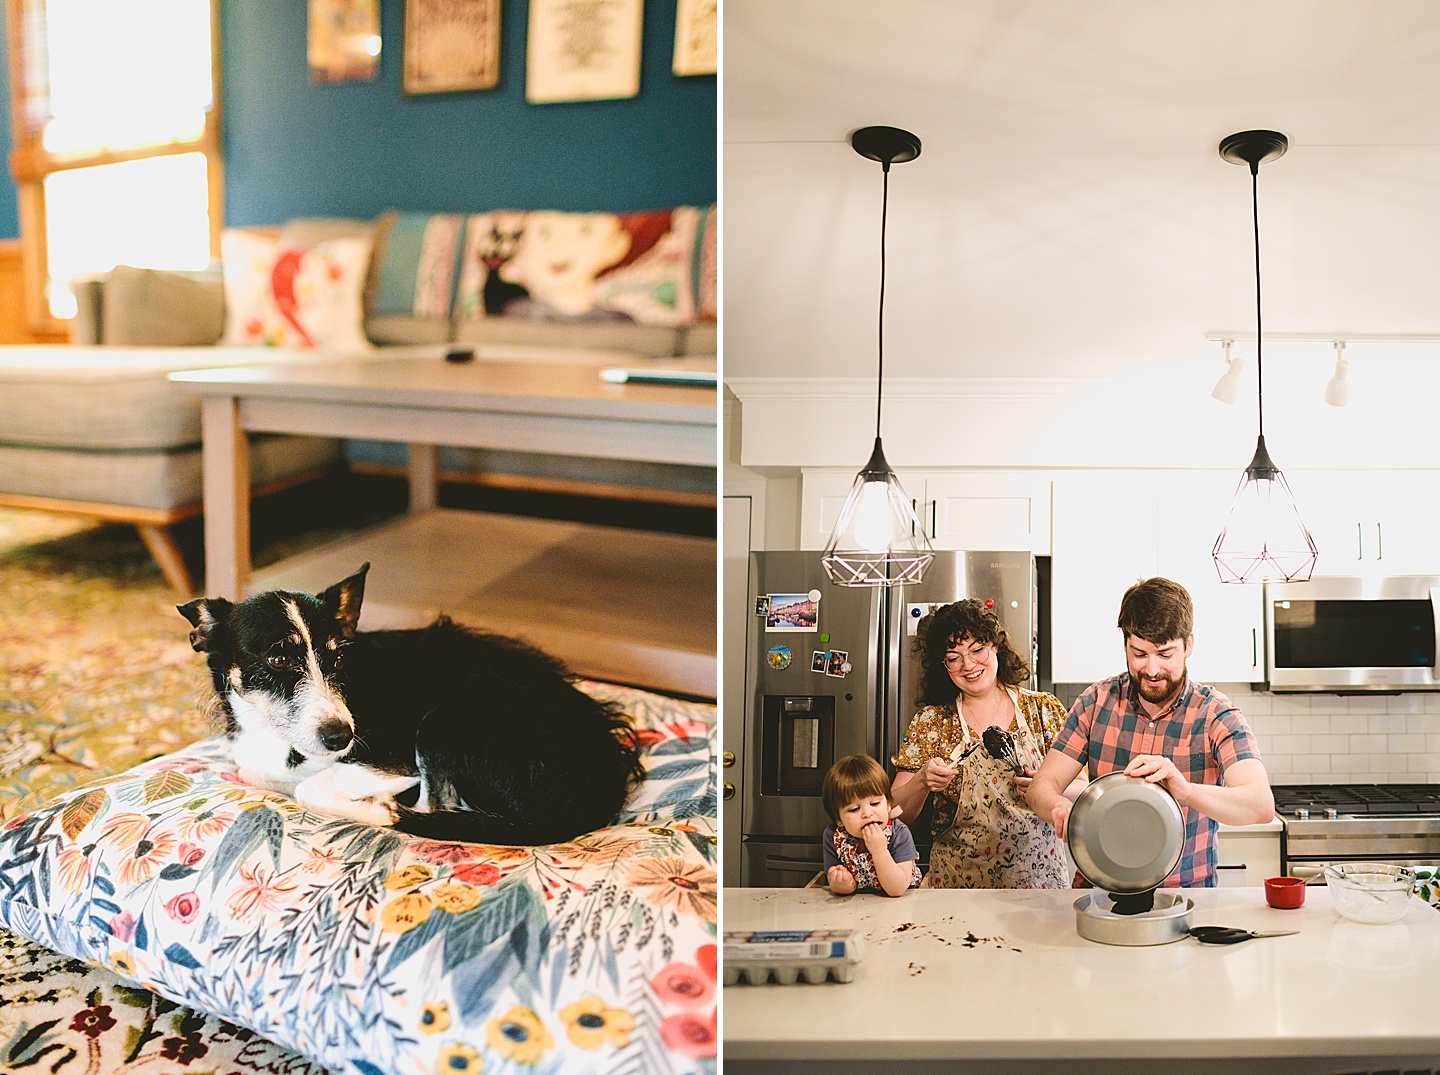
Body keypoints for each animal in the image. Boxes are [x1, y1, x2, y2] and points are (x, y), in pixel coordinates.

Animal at [178, 564, 642, 851]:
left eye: (339, 660)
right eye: (276, 659)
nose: (341, 737)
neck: (275, 735)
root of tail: (601, 785)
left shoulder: (392, 758)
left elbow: (313, 787)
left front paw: (375, 806)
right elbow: (254, 772)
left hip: (445, 722)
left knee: (431, 809)